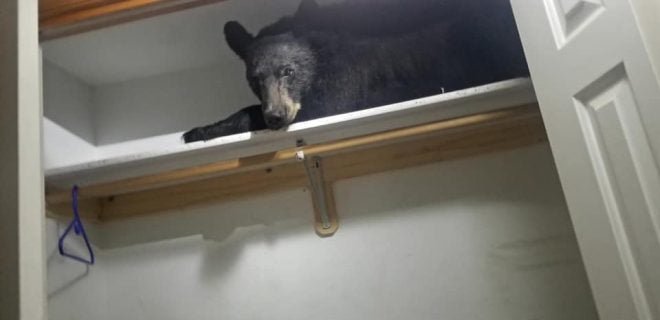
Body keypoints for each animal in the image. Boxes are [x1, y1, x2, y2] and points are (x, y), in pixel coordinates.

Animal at [182, 0, 532, 142]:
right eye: (254, 78)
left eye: (288, 71)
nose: (276, 117)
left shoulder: (344, 78)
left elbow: (326, 105)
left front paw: (202, 129)